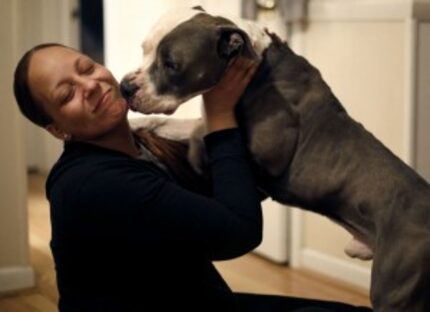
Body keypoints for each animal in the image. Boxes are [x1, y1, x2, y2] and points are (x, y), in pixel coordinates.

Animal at [120, 5, 430, 312]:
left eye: (171, 64)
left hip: (396, 292)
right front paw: (132, 128)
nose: (125, 87)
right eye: (144, 50)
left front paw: (195, 153)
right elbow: (170, 123)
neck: (256, 63)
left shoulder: (268, 153)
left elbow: (201, 132)